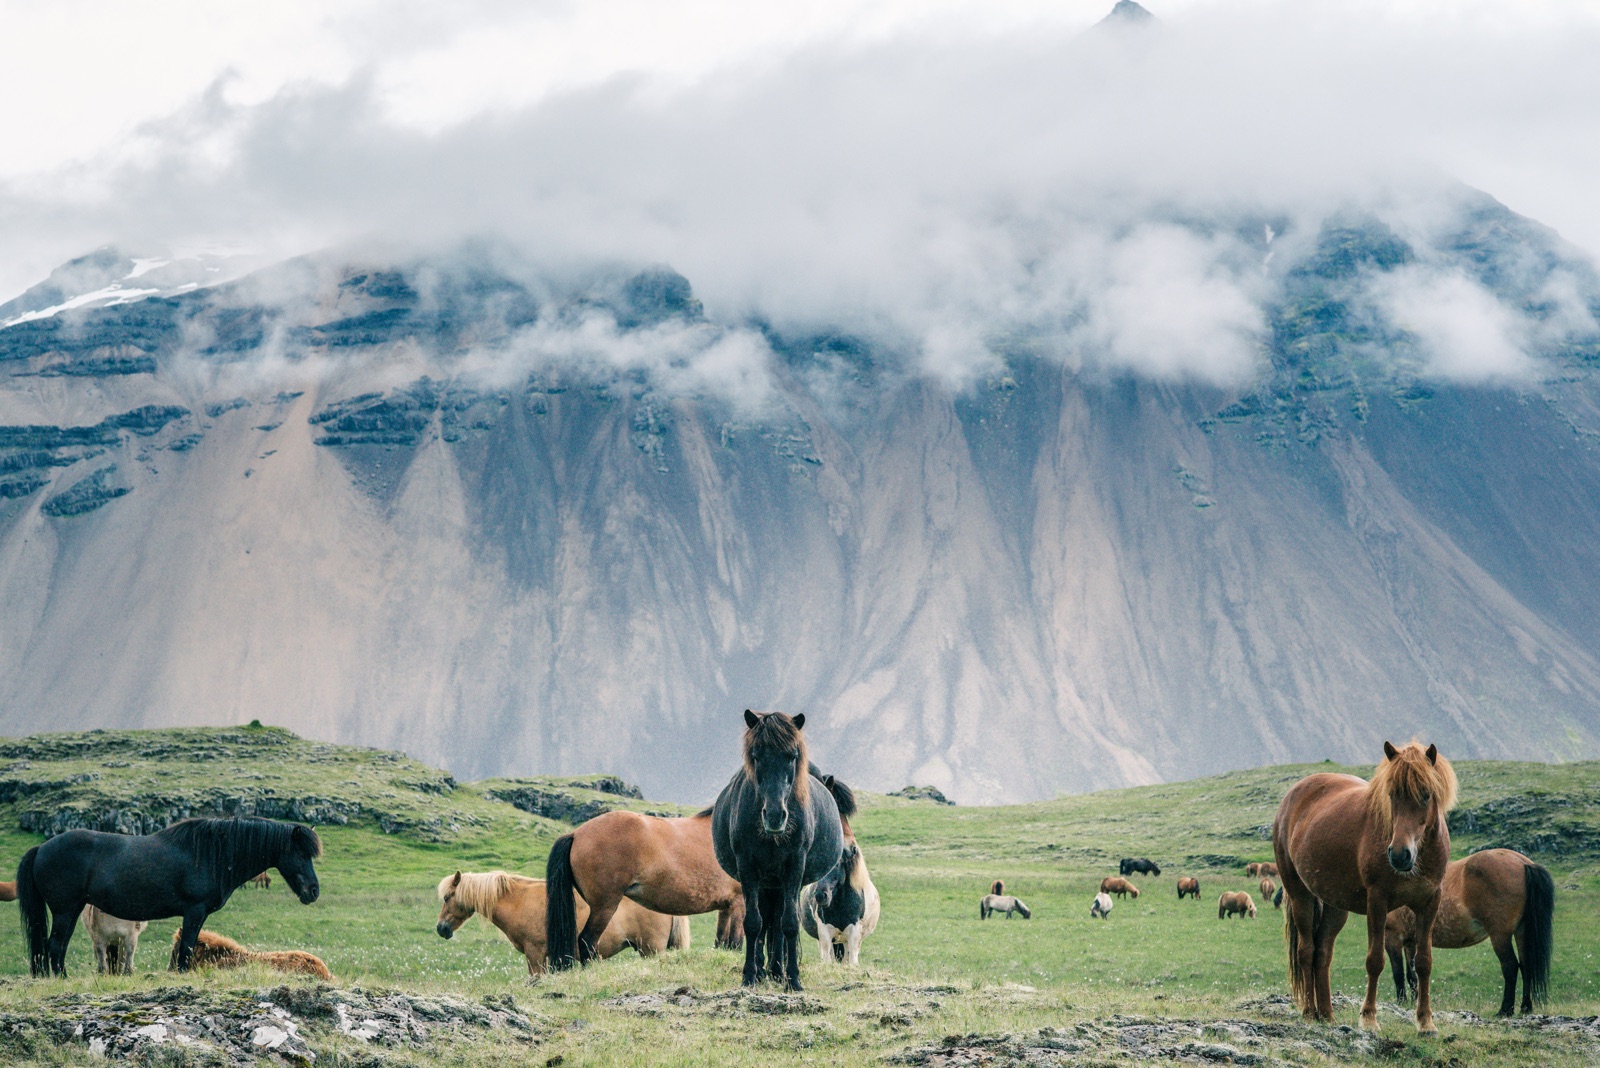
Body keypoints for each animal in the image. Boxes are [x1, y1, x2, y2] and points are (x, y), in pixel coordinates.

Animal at [17, 816, 321, 976]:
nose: (313, 891)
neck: (213, 854)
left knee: (57, 946)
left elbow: (189, 945)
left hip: (71, 910)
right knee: (55, 946)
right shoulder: (194, 911)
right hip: (65, 910)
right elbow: (186, 947)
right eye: (301, 854)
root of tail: (42, 847)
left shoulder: (197, 914)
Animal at [712, 710, 850, 990]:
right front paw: (749, 976)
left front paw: (793, 979)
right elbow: (754, 923)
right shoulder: (748, 869)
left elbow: (788, 924)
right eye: (756, 755)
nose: (775, 816)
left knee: (777, 924)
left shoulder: (794, 868)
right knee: (767, 922)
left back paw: (777, 970)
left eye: (792, 756)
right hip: (767, 883)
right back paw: (766, 970)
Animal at [1273, 740, 1457, 1034]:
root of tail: (1293, 796)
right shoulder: (1378, 902)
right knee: (1306, 950)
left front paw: (1426, 1021)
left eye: (1426, 795)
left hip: (1336, 906)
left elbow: (1423, 963)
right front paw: (1369, 1017)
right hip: (1300, 895)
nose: (1399, 855)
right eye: (1392, 794)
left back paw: (1327, 1015)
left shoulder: (1429, 903)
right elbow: (1375, 961)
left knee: (1322, 953)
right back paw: (1310, 1012)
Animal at [1384, 848, 1554, 1016]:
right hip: (1522, 932)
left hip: (1500, 935)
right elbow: (1412, 975)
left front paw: (1401, 1003)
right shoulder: (1410, 942)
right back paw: (1526, 1007)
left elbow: (1398, 974)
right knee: (1526, 966)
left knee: (1510, 966)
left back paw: (1505, 1010)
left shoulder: (1392, 938)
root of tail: (1523, 862)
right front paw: (1414, 1003)